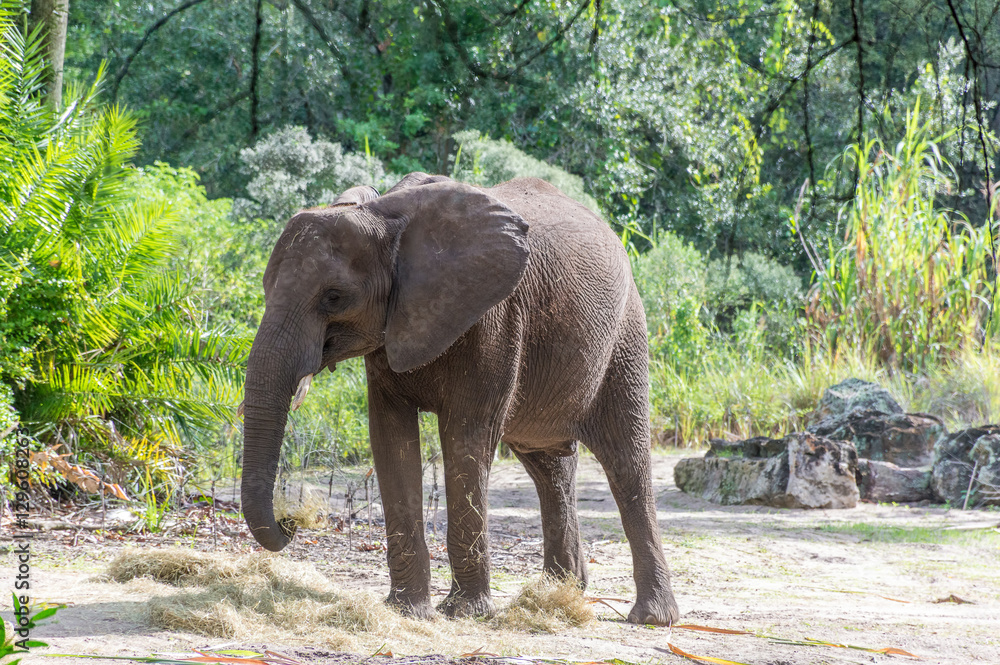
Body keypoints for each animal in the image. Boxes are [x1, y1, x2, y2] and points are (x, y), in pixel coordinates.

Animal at [240, 172, 679, 626]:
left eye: (334, 297)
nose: (292, 522)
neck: (384, 217)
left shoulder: (494, 320)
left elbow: (465, 437)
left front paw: (464, 612)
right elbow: (390, 440)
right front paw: (407, 610)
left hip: (626, 335)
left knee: (626, 460)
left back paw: (650, 617)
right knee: (548, 466)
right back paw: (558, 592)